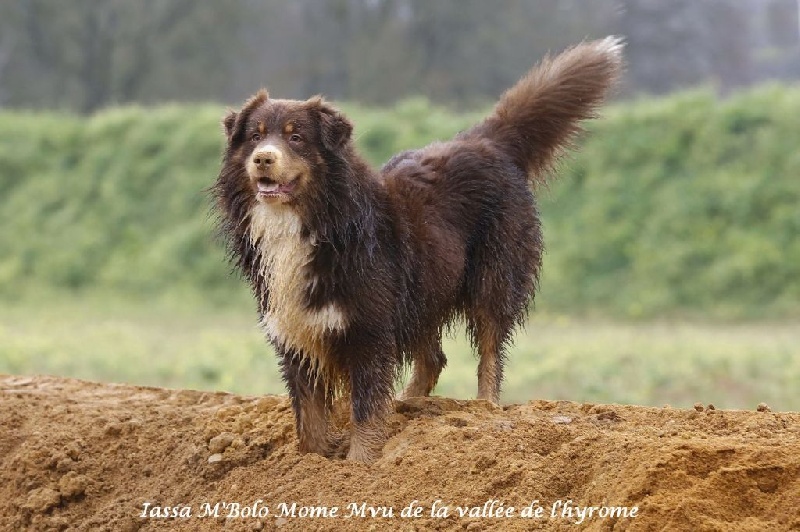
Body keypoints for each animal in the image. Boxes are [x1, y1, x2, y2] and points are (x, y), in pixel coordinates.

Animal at [214, 38, 624, 462]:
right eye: (255, 136)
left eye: (295, 138)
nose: (263, 158)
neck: (317, 220)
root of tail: (485, 141)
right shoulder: (296, 333)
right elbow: (309, 417)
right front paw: (311, 461)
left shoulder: (368, 329)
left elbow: (365, 408)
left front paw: (359, 463)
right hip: (423, 287)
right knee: (433, 358)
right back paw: (408, 405)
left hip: (492, 278)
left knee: (490, 348)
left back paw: (485, 407)